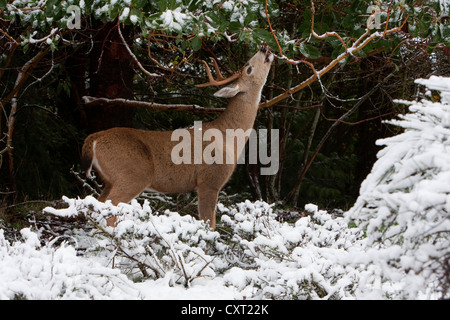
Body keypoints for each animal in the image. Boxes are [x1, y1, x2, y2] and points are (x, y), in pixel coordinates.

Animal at [81, 45, 274, 230]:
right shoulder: (209, 180)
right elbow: (209, 225)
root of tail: (94, 139)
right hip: (132, 174)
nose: (264, 48)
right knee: (109, 210)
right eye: (248, 69)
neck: (229, 138)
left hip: (109, 179)